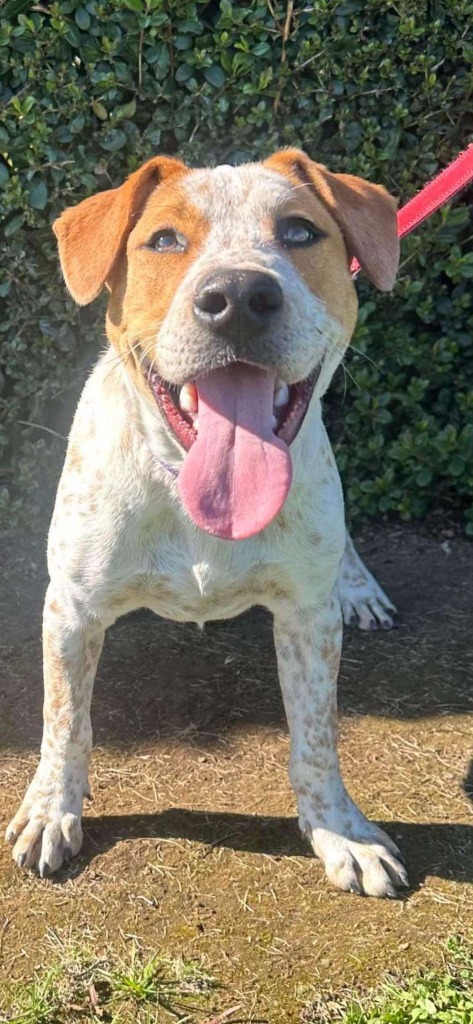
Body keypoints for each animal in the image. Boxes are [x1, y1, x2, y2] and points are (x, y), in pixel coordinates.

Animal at [4, 149, 407, 897]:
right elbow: (64, 722)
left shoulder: (307, 619)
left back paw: (359, 587)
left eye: (300, 231)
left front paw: (341, 831)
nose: (239, 297)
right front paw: (51, 810)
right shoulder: (70, 609)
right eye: (164, 240)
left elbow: (316, 736)